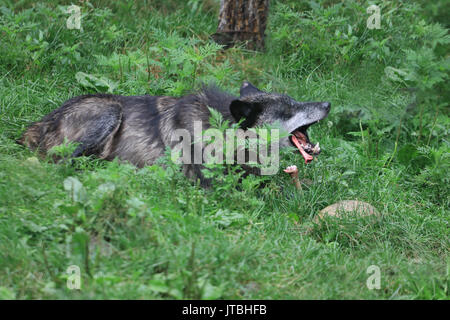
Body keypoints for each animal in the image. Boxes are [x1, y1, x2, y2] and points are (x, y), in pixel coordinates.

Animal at [18, 82, 330, 185]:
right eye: (289, 108)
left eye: (295, 101)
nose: (328, 104)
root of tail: (37, 124)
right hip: (110, 112)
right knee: (62, 163)